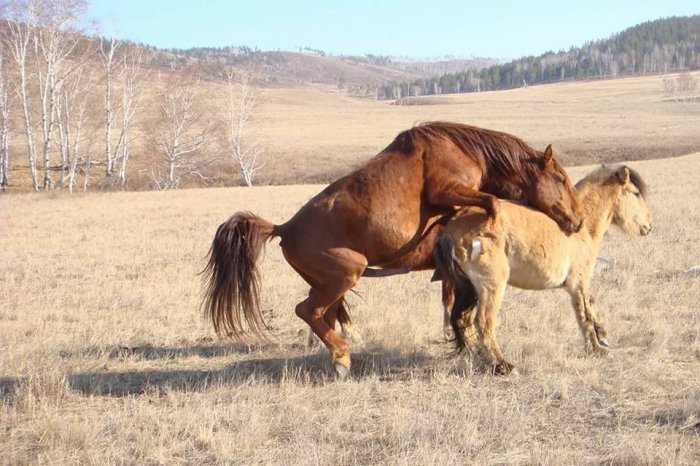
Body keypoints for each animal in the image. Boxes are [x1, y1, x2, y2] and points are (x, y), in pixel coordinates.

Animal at [205, 122, 584, 376]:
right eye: (560, 180)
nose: (578, 220)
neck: (462, 149)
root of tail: (284, 228)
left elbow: (453, 308)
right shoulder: (446, 191)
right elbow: (490, 202)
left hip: (330, 283)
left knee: (326, 315)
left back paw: (341, 356)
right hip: (346, 274)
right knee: (308, 311)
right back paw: (342, 357)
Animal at [434, 166, 652, 374]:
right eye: (635, 193)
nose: (649, 225)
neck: (582, 226)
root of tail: (452, 227)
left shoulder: (581, 285)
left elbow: (591, 306)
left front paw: (603, 339)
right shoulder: (578, 283)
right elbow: (585, 316)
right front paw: (597, 348)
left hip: (468, 288)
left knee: (463, 320)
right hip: (492, 286)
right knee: (483, 322)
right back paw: (503, 366)